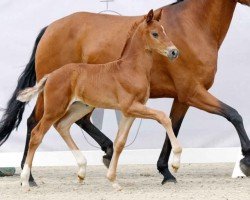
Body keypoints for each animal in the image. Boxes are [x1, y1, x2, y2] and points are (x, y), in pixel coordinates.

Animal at [18, 10, 182, 191]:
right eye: (155, 33)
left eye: (164, 30)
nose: (174, 52)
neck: (130, 70)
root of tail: (51, 75)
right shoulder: (130, 107)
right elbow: (163, 117)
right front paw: (175, 163)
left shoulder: (130, 112)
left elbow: (119, 143)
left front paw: (113, 180)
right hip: (54, 109)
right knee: (36, 134)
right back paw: (25, 181)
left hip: (81, 107)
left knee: (62, 125)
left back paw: (81, 171)